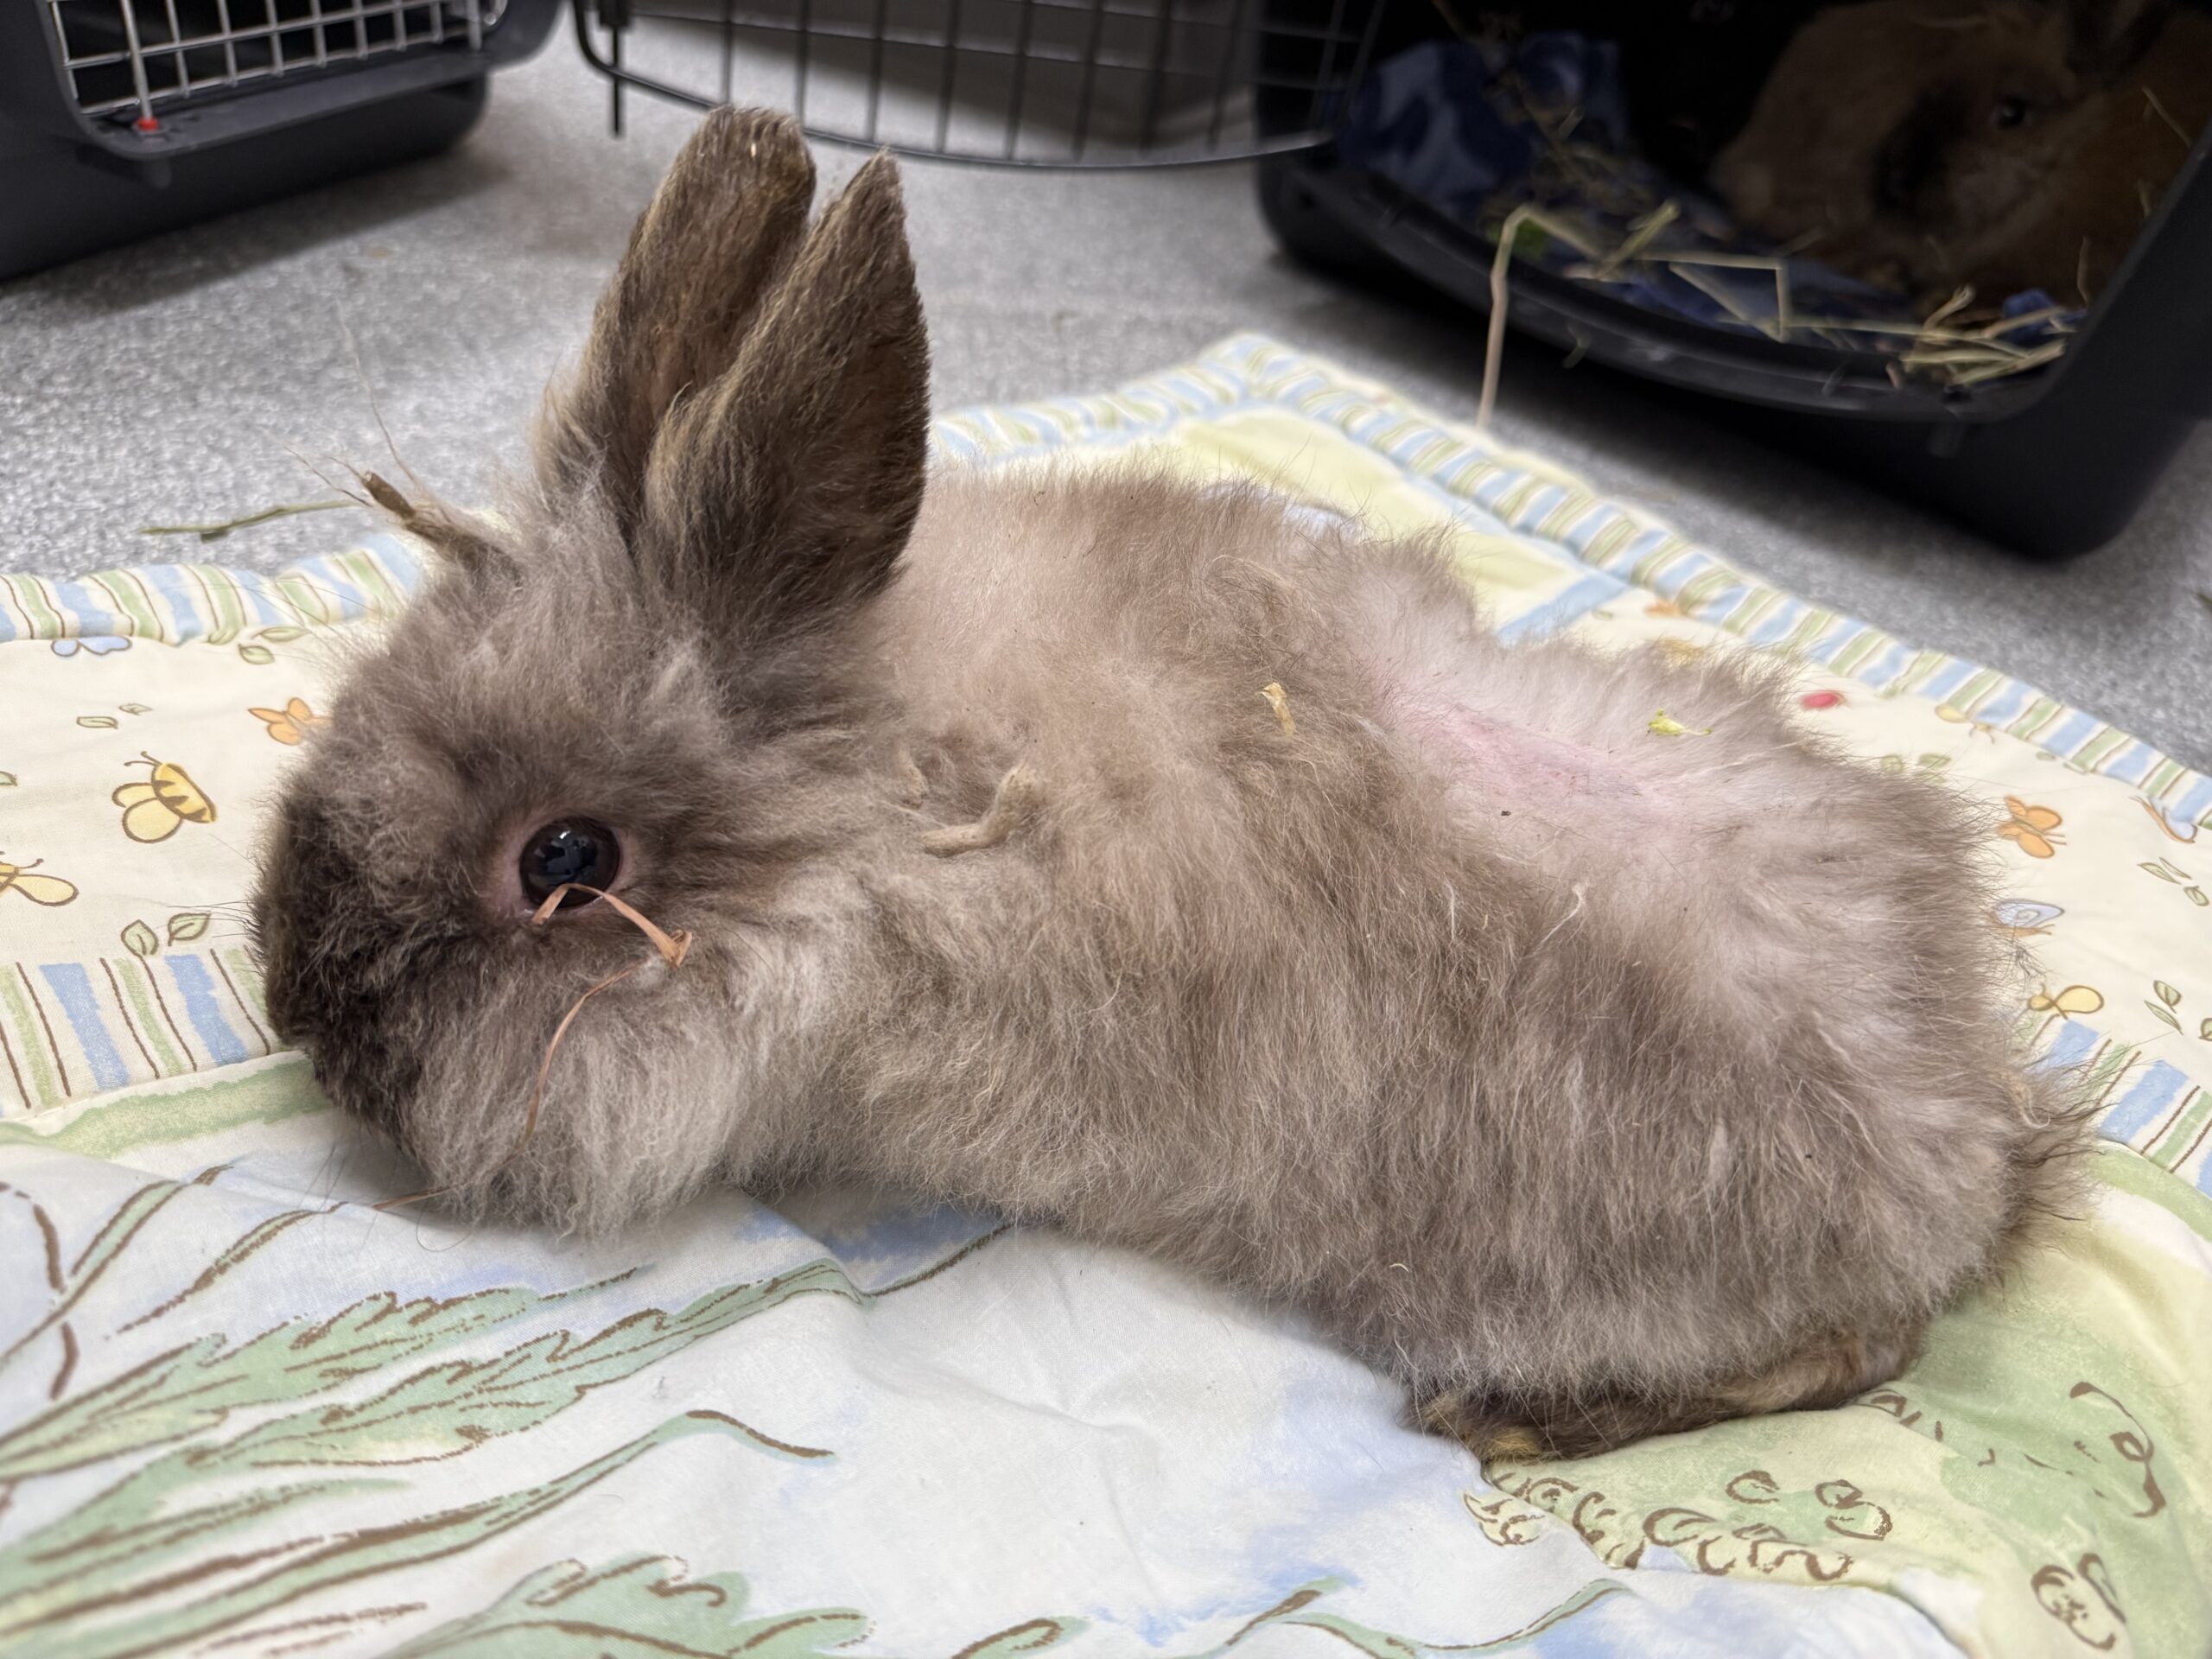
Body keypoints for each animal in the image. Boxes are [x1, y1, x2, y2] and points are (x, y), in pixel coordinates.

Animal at [250, 107, 2090, 1461]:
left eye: (563, 861)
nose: (306, 1020)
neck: (889, 799)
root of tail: (1981, 1145)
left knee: (1850, 1355)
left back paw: (1511, 1421)